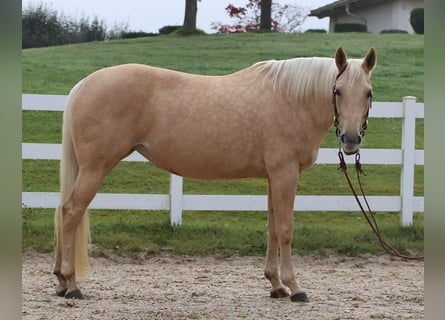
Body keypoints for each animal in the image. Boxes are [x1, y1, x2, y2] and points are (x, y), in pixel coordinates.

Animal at [53, 46, 376, 302]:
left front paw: (276, 285)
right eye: (338, 91)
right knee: (71, 212)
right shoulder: (286, 174)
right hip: (95, 168)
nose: (350, 140)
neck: (291, 98)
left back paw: (60, 281)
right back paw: (71, 285)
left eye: (368, 93)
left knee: (63, 211)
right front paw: (295, 288)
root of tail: (82, 85)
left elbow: (272, 228)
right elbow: (285, 230)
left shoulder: (273, 177)